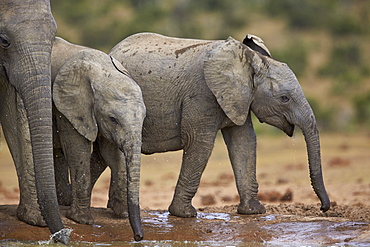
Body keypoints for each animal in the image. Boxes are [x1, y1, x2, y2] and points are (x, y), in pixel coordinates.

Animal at [51, 37, 146, 241]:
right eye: (113, 119)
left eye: (144, 118)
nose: (138, 237)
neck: (102, 71)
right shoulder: (68, 107)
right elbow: (78, 150)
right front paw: (81, 220)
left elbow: (111, 152)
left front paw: (120, 213)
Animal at [107, 32, 330, 218]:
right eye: (284, 98)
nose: (324, 208)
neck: (247, 60)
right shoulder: (202, 93)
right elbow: (200, 143)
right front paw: (185, 214)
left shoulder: (239, 98)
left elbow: (244, 142)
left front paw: (254, 212)